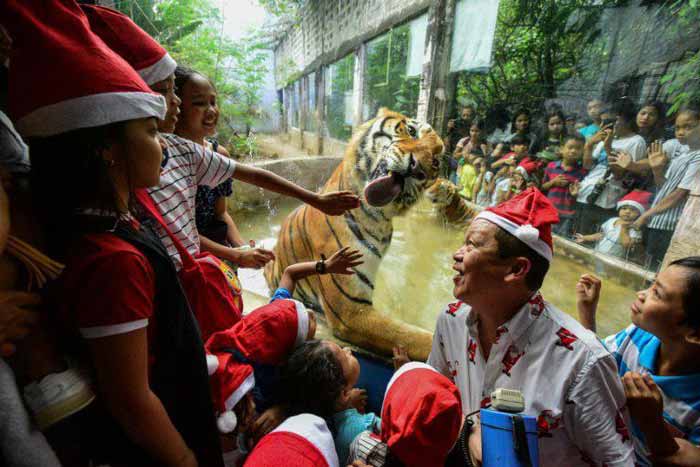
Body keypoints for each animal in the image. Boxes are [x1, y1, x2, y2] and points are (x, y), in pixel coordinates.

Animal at [266, 108, 446, 360]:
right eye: (411, 130)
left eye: (436, 162)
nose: (418, 168)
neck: (378, 217)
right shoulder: (350, 310)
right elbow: (412, 337)